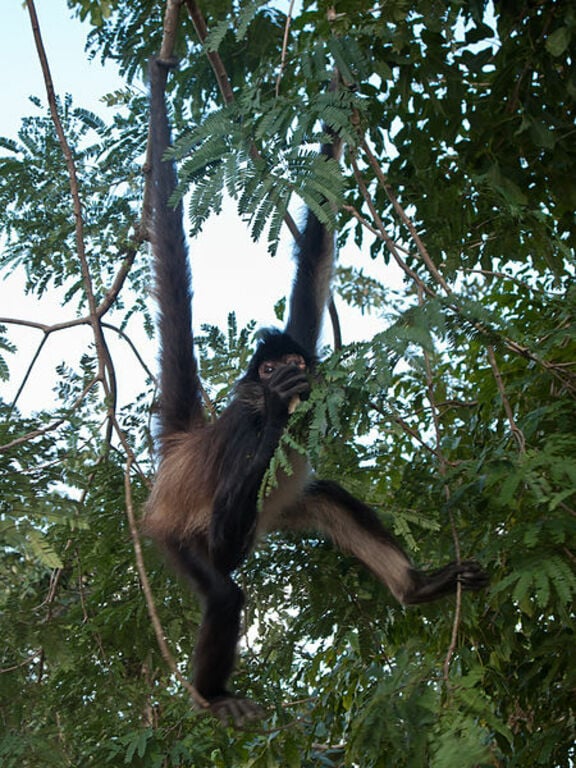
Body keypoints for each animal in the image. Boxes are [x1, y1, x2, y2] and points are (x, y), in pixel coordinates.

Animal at [144, 57, 489, 726]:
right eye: (267, 373)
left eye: (291, 360)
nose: (284, 377)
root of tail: (181, 453)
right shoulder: (246, 424)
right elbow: (225, 553)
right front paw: (279, 409)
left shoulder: (303, 337)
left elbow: (316, 258)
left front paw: (336, 100)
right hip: (174, 531)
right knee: (223, 590)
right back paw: (213, 694)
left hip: (284, 507)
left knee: (326, 496)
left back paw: (416, 587)